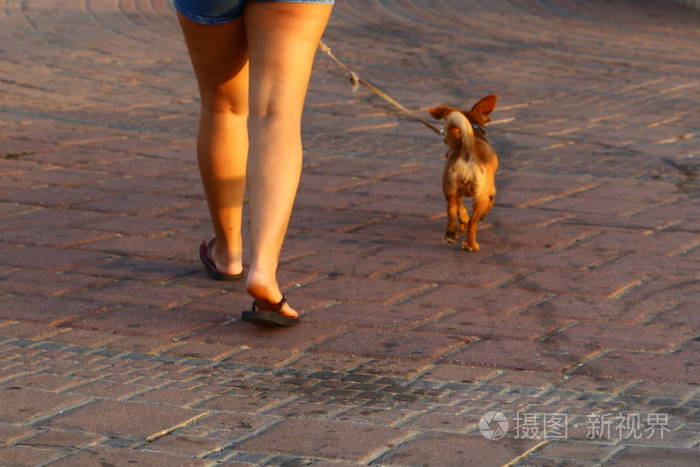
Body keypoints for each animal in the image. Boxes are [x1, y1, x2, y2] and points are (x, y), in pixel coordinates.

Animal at [426, 94, 498, 252]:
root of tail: (466, 149)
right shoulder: (491, 192)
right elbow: (487, 207)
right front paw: (480, 218)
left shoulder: (457, 193)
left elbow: (461, 208)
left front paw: (463, 220)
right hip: (481, 197)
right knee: (473, 222)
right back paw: (471, 245)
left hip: (450, 189)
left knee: (451, 211)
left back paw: (451, 235)